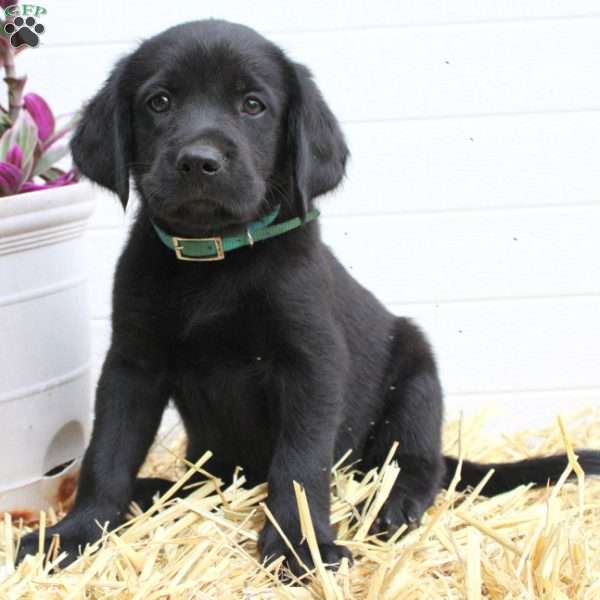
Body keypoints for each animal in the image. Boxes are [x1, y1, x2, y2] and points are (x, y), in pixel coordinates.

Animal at [17, 18, 596, 576]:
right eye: (159, 102)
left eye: (253, 105)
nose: (199, 161)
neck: (216, 261)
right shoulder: (132, 365)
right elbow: (107, 455)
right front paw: (74, 532)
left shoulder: (311, 366)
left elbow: (299, 466)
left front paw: (299, 545)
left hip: (416, 379)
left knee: (418, 465)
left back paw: (392, 508)